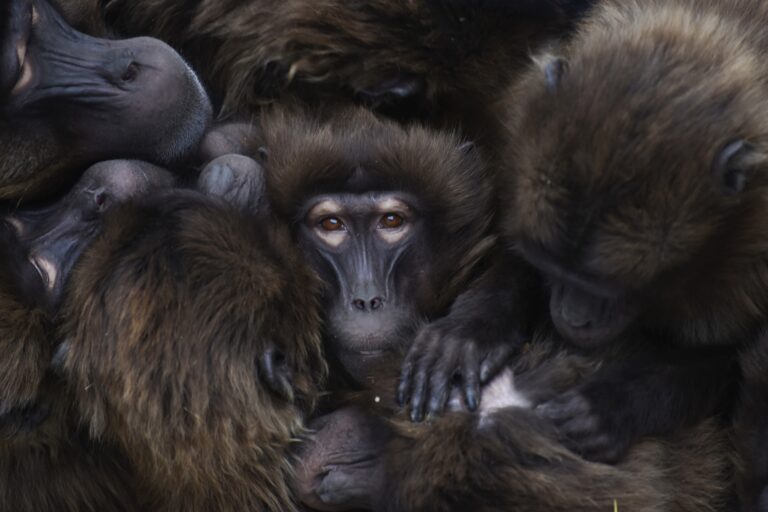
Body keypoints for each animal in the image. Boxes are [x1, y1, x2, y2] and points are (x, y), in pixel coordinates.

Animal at [491, 0, 768, 496]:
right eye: (553, 270)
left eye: (604, 287)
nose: (572, 316)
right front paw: (470, 330)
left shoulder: (751, 259)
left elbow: (729, 357)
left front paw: (613, 407)